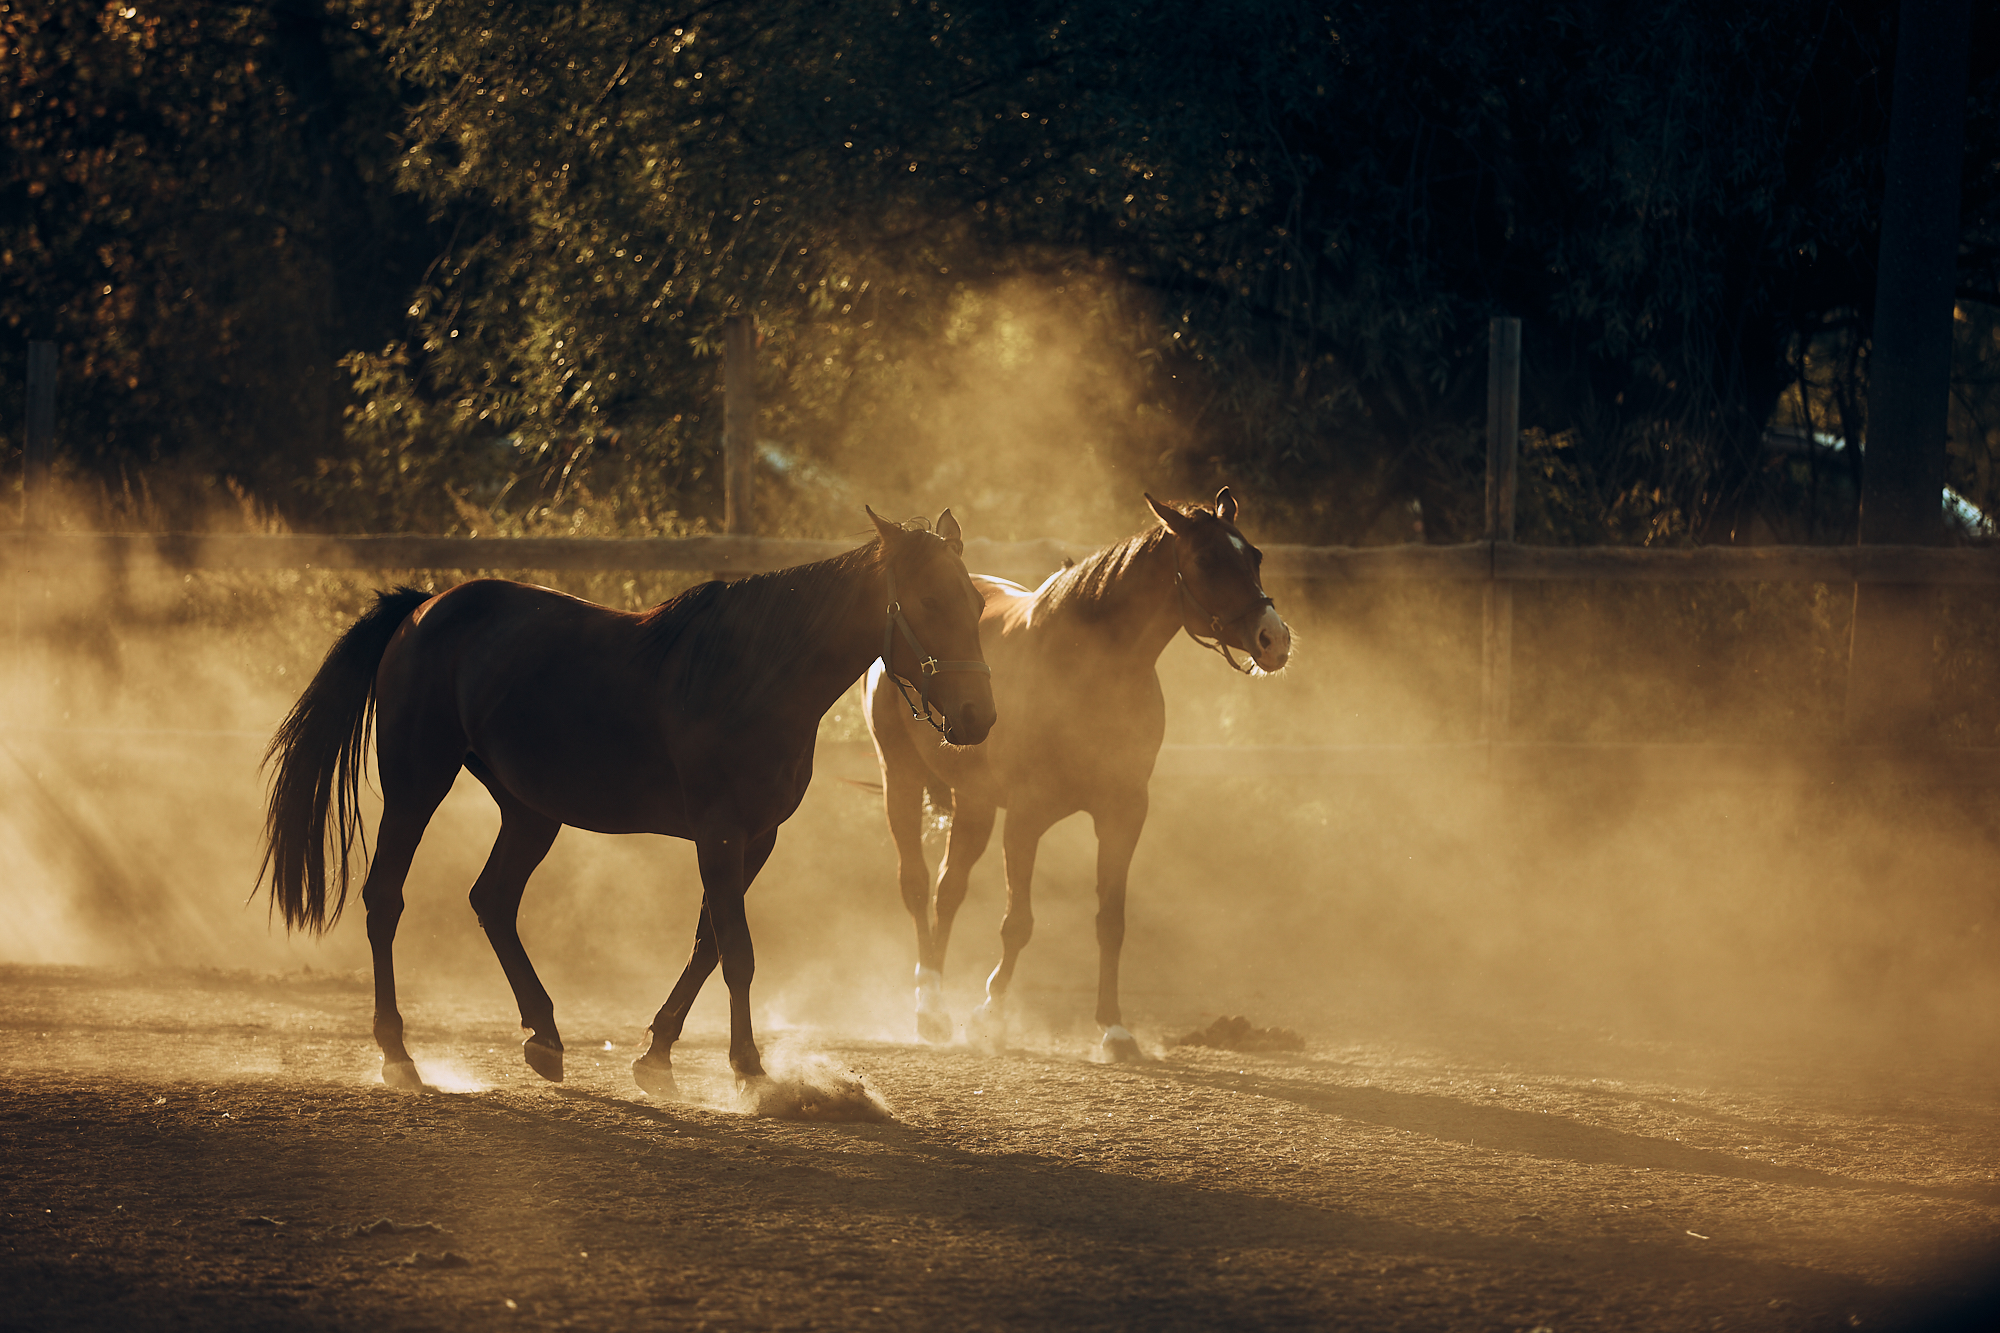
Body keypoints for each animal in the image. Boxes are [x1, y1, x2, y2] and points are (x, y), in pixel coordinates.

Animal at [258, 508, 992, 1088]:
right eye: (929, 604)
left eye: (979, 608)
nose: (979, 717)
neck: (752, 676)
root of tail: (421, 609)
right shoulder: (720, 831)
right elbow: (737, 949)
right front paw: (747, 1067)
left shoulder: (757, 837)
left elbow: (708, 943)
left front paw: (657, 1055)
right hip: (417, 783)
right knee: (386, 899)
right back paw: (398, 1053)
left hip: (530, 810)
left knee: (492, 899)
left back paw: (545, 1037)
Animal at [868, 488, 1288, 1056]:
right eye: (1205, 560)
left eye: (1255, 556)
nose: (1274, 639)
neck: (1087, 670)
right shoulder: (1026, 818)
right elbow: (1018, 923)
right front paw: (989, 1013)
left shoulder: (1124, 813)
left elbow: (1111, 922)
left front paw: (1113, 1028)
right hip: (903, 777)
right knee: (915, 884)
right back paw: (930, 1008)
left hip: (975, 802)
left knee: (948, 889)